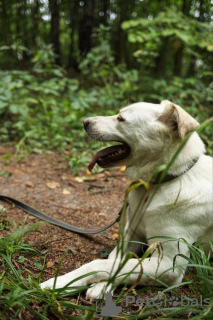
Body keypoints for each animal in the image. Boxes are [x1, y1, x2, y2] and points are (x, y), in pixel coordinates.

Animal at [40, 100, 213, 300]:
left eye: (121, 119)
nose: (84, 121)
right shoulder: (132, 233)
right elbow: (114, 260)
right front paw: (102, 285)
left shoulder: (169, 264)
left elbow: (100, 264)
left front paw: (62, 282)